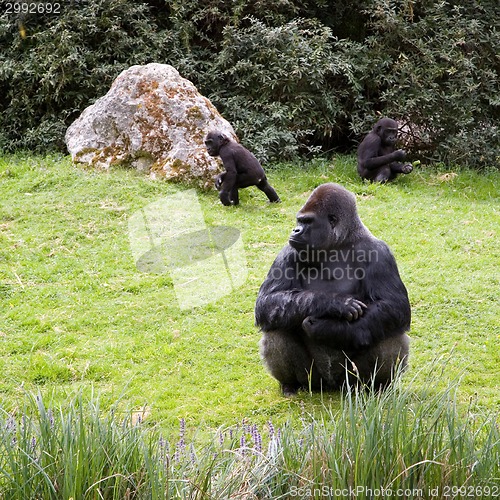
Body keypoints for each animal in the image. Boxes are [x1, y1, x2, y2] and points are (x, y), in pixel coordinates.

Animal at [256, 183, 412, 394]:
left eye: (308, 221)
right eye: (299, 220)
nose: (295, 230)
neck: (339, 242)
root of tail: (331, 385)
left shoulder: (380, 252)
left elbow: (394, 305)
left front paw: (326, 328)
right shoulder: (289, 251)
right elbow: (268, 301)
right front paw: (334, 303)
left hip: (351, 381)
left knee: (390, 330)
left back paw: (380, 386)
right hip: (313, 380)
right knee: (276, 325)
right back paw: (290, 384)